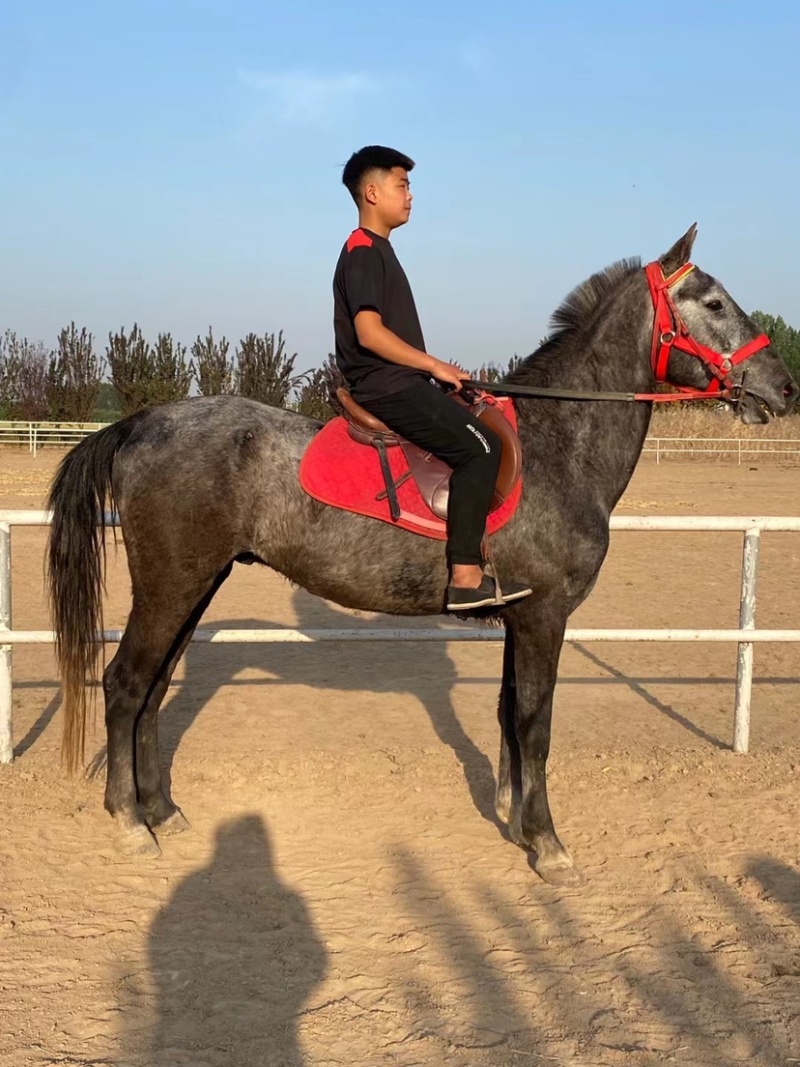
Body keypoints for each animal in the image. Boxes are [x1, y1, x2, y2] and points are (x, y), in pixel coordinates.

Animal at [45, 225, 798, 884]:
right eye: (714, 303)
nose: (785, 387)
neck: (559, 441)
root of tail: (143, 422)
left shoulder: (520, 615)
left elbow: (508, 713)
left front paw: (514, 819)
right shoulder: (546, 615)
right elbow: (537, 724)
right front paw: (548, 844)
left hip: (195, 586)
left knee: (154, 688)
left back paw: (162, 811)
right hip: (172, 585)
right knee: (126, 684)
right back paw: (129, 822)